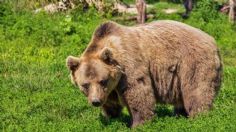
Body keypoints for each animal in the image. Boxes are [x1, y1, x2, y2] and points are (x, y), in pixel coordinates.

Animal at [66, 20, 221, 127]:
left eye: (102, 81)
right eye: (85, 85)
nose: (95, 101)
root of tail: (212, 40)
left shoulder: (129, 67)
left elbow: (138, 94)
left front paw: (138, 123)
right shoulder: (110, 87)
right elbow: (110, 102)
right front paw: (111, 117)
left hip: (192, 62)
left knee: (197, 89)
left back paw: (198, 117)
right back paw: (179, 114)